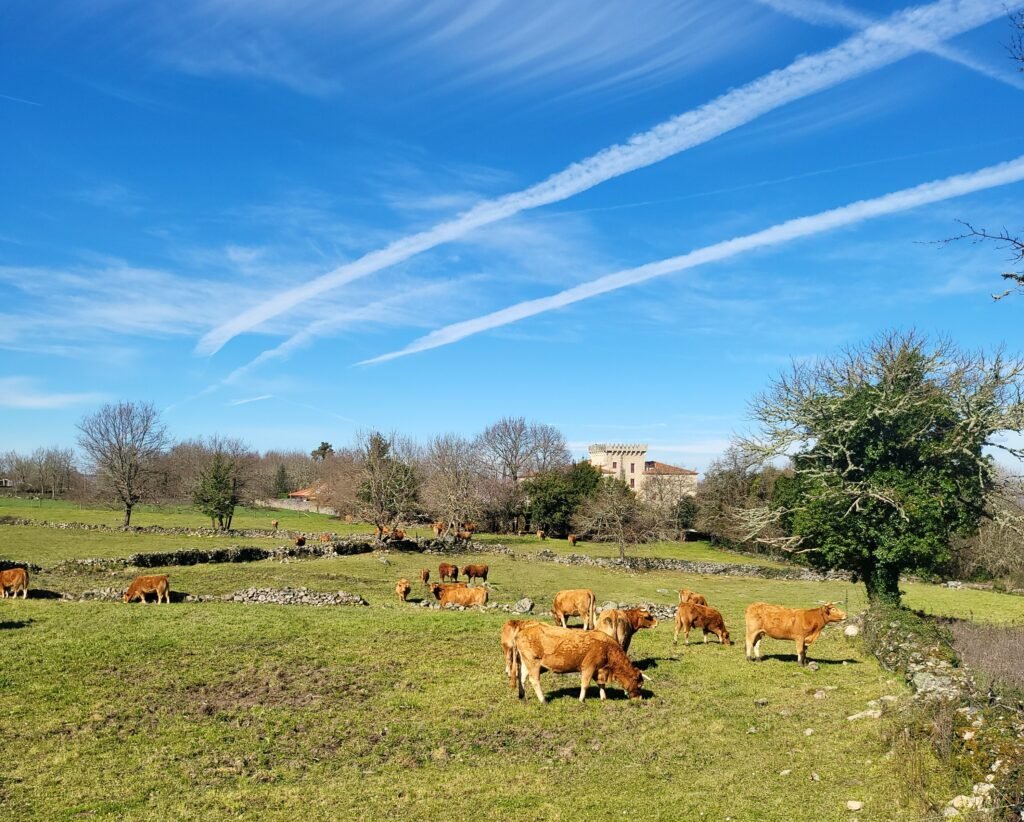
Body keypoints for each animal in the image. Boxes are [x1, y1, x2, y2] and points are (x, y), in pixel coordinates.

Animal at [512, 626, 647, 704]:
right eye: (639, 685)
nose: (640, 699)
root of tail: (521, 632)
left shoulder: (599, 669)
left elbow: (601, 684)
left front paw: (603, 698)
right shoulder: (588, 667)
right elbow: (585, 684)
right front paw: (582, 700)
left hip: (526, 662)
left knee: (522, 678)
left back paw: (522, 696)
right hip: (533, 662)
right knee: (534, 680)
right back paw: (543, 700)